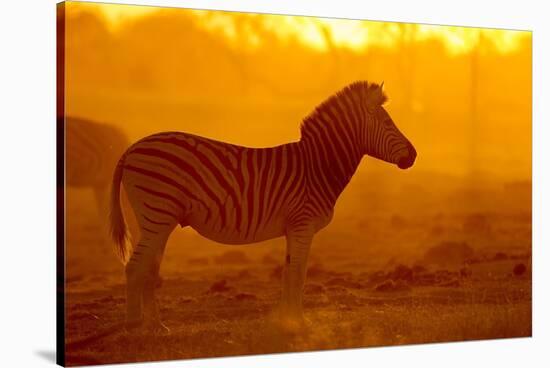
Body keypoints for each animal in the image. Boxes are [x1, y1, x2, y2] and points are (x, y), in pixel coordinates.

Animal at [109, 81, 418, 334]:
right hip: (158, 214)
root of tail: (131, 148)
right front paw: (299, 323)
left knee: (149, 267)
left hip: (159, 220)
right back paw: (133, 325)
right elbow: (299, 273)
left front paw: (286, 321)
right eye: (387, 122)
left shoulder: (293, 227)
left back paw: (157, 326)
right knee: (134, 266)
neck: (316, 167)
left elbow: (287, 272)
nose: (414, 156)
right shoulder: (303, 224)